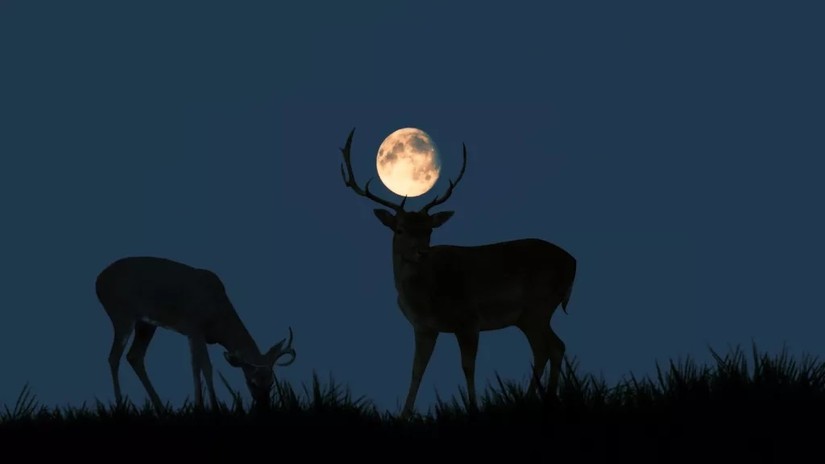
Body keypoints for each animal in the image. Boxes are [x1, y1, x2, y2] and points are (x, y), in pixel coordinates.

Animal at [96, 256, 296, 412]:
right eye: (252, 382)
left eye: (271, 382)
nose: (264, 406)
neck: (219, 319)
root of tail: (98, 281)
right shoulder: (194, 327)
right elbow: (204, 366)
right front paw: (211, 406)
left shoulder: (193, 334)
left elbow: (196, 365)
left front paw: (200, 404)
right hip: (121, 315)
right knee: (114, 357)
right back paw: (120, 405)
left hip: (145, 324)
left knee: (134, 356)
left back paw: (161, 407)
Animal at [338, 128, 576, 416]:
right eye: (400, 229)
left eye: (429, 229)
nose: (422, 252)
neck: (426, 296)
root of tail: (573, 263)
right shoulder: (424, 327)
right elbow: (417, 370)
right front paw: (405, 414)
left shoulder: (468, 319)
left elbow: (467, 367)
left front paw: (473, 408)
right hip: (528, 316)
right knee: (550, 348)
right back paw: (541, 398)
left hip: (538, 307)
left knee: (550, 347)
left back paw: (540, 399)